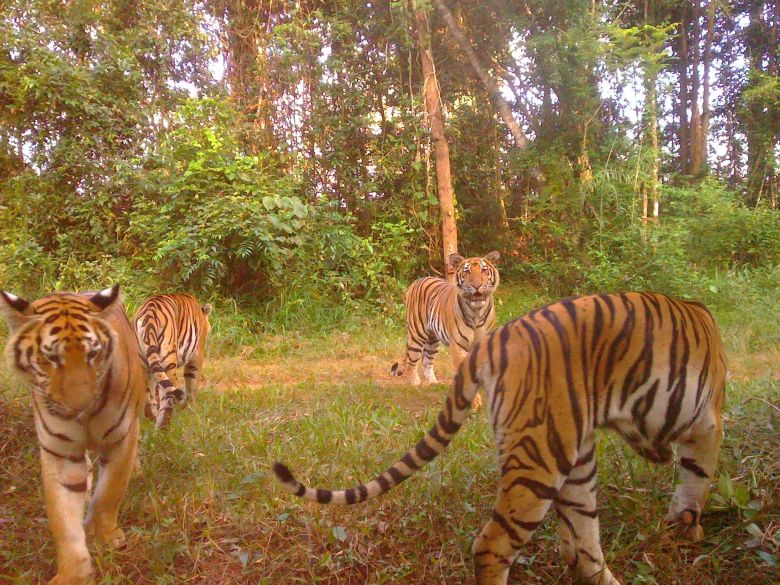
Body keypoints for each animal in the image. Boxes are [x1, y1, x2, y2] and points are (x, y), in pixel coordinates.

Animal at [0, 286, 146, 585]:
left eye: (92, 355)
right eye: (51, 358)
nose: (81, 406)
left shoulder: (122, 437)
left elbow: (110, 492)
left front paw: (105, 538)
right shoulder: (61, 453)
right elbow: (63, 521)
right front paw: (72, 573)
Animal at [134, 293, 212, 429]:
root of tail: (149, 312)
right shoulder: (197, 355)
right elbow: (192, 383)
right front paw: (191, 410)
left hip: (144, 363)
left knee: (148, 397)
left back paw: (154, 420)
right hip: (168, 361)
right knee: (168, 396)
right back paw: (164, 427)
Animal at [275, 292, 727, 585]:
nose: (658, 453)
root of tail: (496, 338)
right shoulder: (708, 424)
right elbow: (696, 485)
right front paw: (688, 532)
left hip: (573, 457)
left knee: (582, 548)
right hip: (541, 459)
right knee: (492, 545)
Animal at [391, 251, 500, 408]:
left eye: (484, 270)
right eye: (467, 272)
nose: (476, 285)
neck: (477, 311)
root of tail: (416, 282)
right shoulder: (459, 346)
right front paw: (475, 402)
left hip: (432, 340)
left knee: (426, 361)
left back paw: (433, 384)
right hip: (417, 334)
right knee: (412, 360)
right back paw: (414, 384)